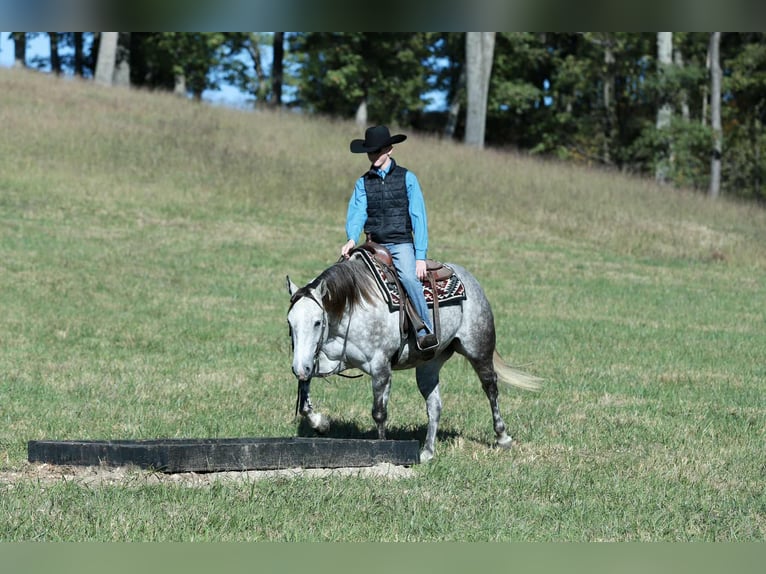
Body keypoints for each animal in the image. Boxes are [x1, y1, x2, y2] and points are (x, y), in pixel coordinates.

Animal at [286, 249, 541, 463]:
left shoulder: (380, 367)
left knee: (490, 387)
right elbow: (305, 397)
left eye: (317, 322)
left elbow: (379, 412)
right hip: (429, 364)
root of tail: (469, 278)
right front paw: (321, 424)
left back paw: (502, 437)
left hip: (478, 348)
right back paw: (427, 452)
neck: (353, 307)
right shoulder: (330, 360)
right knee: (434, 405)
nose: (298, 367)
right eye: (290, 322)